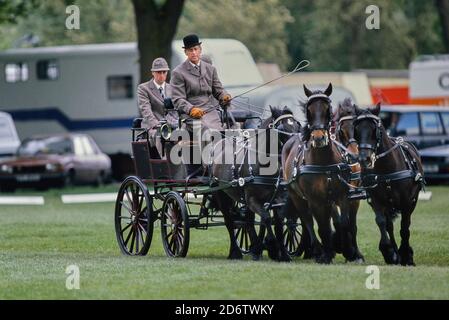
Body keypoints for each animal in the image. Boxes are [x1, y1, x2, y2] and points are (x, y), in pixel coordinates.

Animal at [354, 104, 424, 264]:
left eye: (375, 129)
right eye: (357, 129)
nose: (364, 159)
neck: (386, 169)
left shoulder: (407, 202)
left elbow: (404, 227)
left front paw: (406, 254)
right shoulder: (375, 199)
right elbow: (381, 222)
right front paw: (389, 250)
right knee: (389, 226)